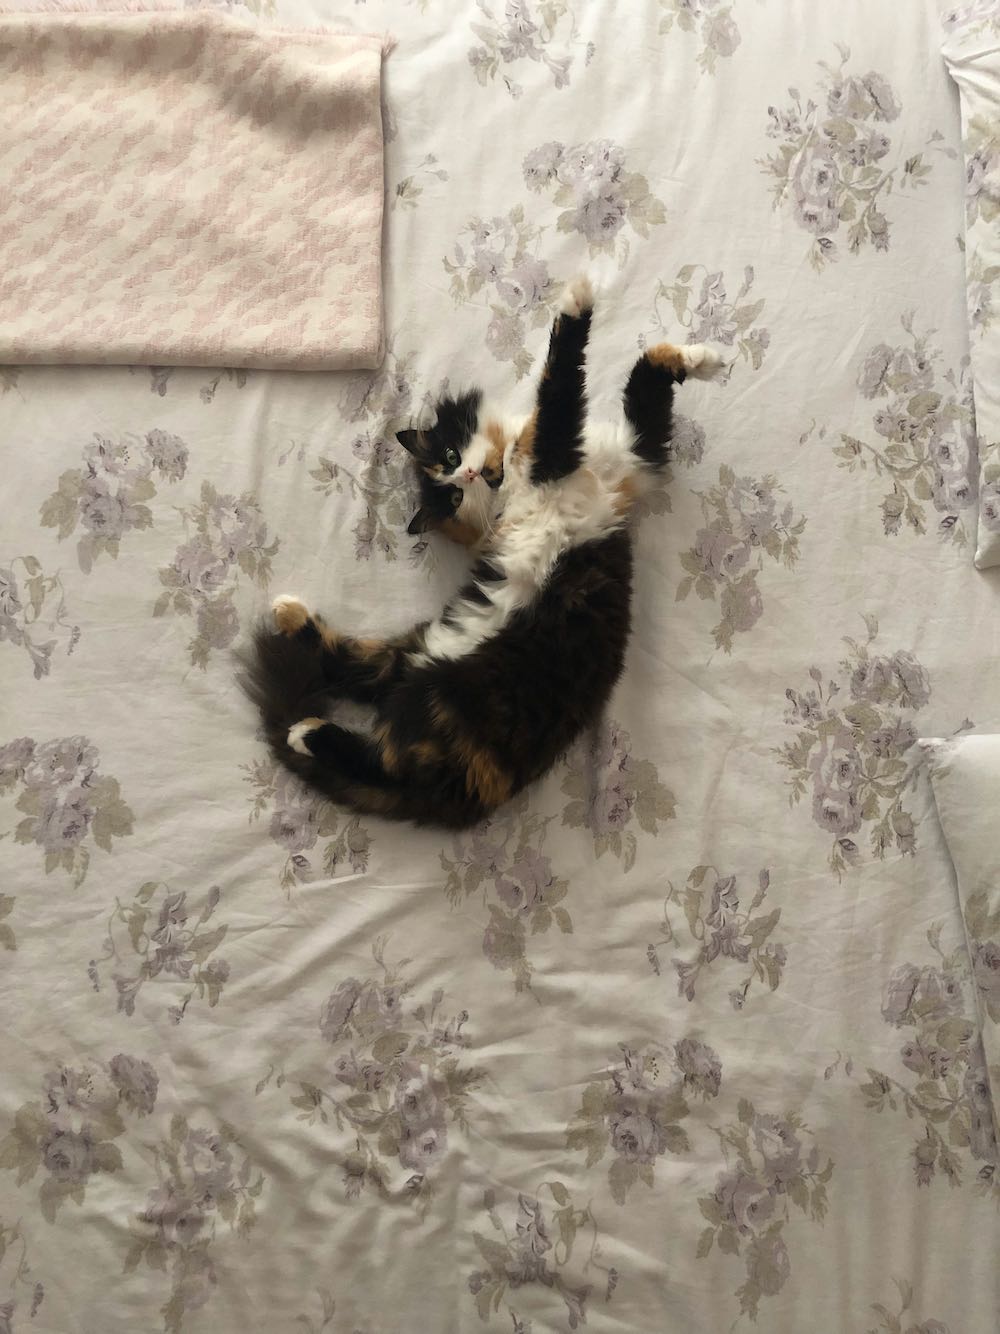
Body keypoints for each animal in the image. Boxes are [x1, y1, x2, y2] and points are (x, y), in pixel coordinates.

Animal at [240, 275, 722, 828]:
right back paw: (305, 723)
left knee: (357, 674)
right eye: (451, 493)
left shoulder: (635, 456)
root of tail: (469, 792)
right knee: (379, 754)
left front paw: (701, 358)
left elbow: (646, 378)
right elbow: (560, 385)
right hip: (443, 699)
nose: (468, 474)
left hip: (414, 665)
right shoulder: (556, 457)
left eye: (450, 461)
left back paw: (291, 627)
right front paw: (577, 297)